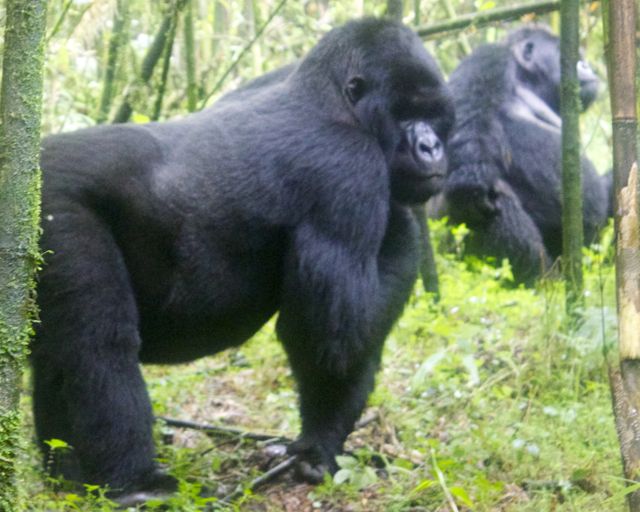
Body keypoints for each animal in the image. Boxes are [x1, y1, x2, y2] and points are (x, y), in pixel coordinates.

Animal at [33, 20, 456, 500]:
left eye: (435, 116)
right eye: (405, 114)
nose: (431, 147)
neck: (333, 100)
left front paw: (319, 448)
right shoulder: (349, 170)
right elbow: (334, 338)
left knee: (59, 352)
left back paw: (66, 475)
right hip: (57, 208)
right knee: (99, 346)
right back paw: (138, 484)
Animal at [438, 25, 608, 284]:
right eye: (566, 54)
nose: (587, 65)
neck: (527, 82)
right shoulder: (489, 56)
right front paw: (469, 188)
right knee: (492, 192)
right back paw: (539, 282)